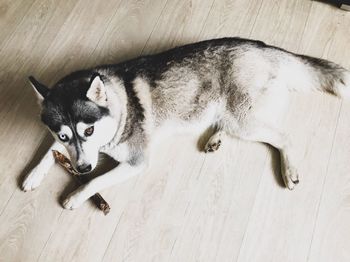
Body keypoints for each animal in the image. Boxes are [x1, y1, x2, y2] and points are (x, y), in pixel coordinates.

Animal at [21, 37, 350, 209]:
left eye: (88, 130)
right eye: (65, 136)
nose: (82, 168)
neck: (117, 103)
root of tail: (262, 47)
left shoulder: (135, 162)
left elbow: (98, 181)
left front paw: (77, 194)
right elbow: (49, 150)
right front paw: (34, 174)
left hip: (244, 117)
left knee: (284, 136)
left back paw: (289, 167)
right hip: (231, 114)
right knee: (230, 123)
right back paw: (216, 137)